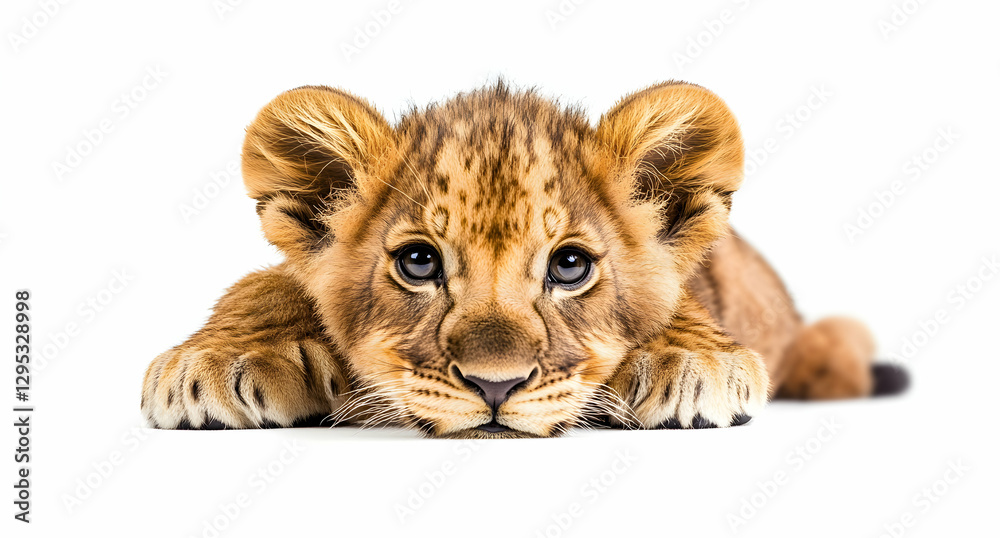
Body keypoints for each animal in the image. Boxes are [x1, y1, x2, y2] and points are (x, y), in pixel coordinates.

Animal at [140, 81, 907, 438]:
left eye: (570, 267)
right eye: (417, 262)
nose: (496, 386)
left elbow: (677, 303)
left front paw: (692, 364)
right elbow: (269, 284)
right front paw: (211, 364)